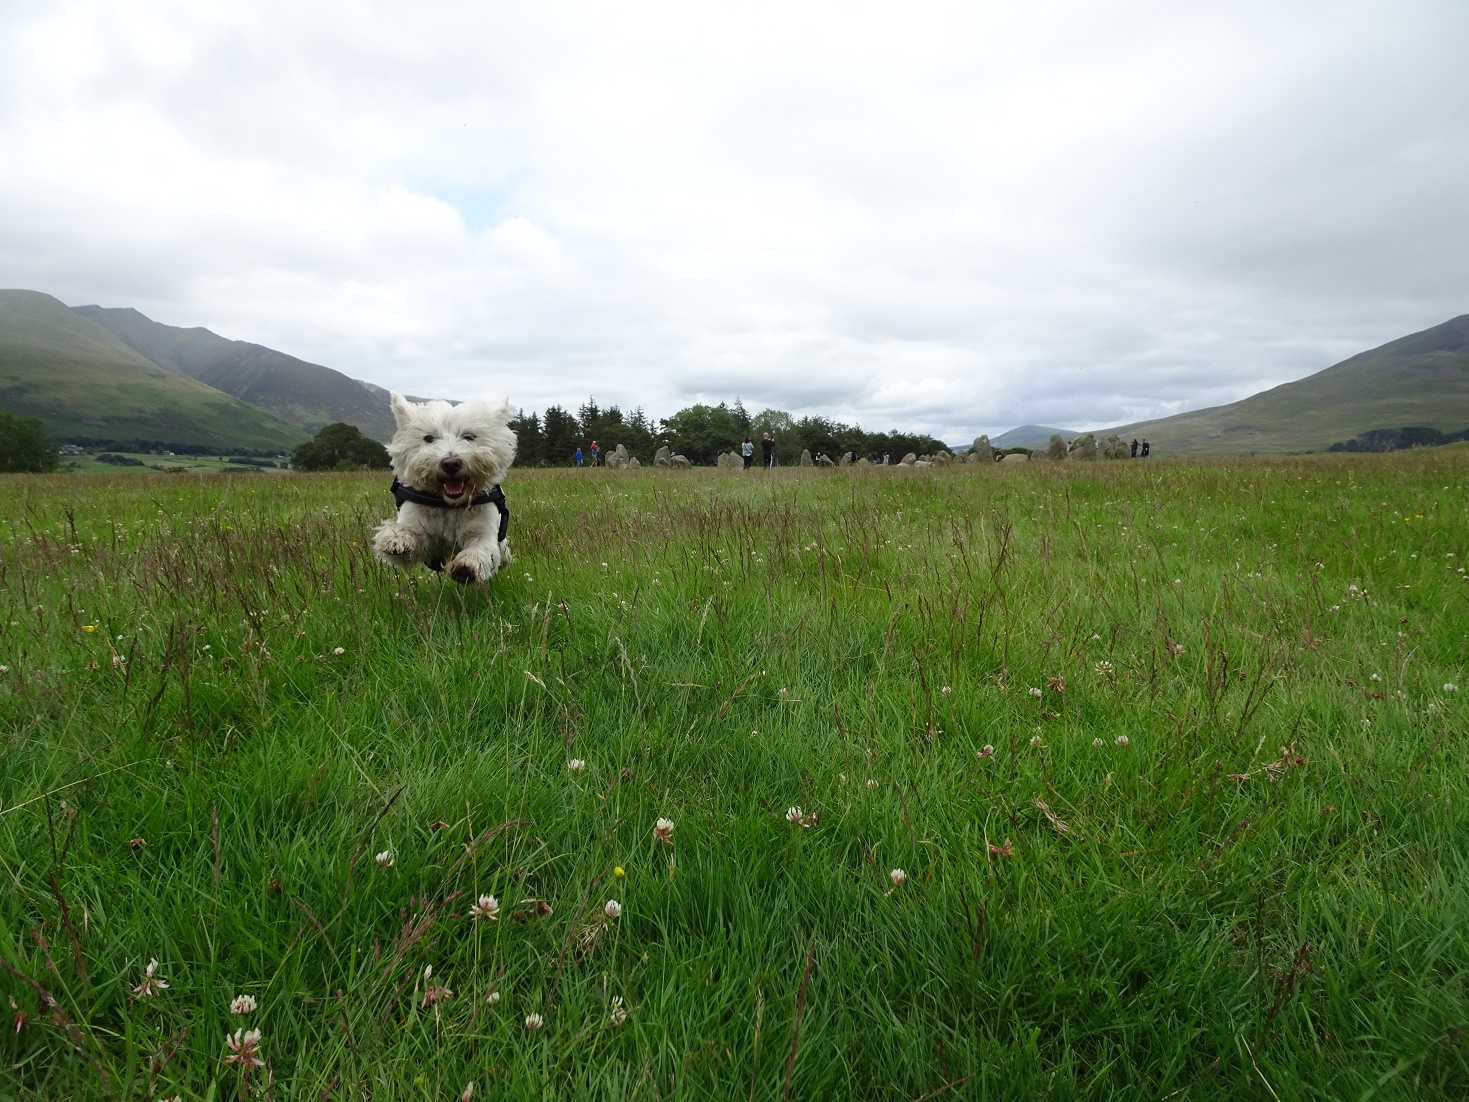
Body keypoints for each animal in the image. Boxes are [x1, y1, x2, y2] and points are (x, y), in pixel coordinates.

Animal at [373, 393, 517, 587]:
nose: (451, 463)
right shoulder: (418, 530)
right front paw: (396, 539)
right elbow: (404, 537)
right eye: (428, 438)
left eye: (469, 436)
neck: (448, 504)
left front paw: (466, 567)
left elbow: (480, 548)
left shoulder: (483, 531)